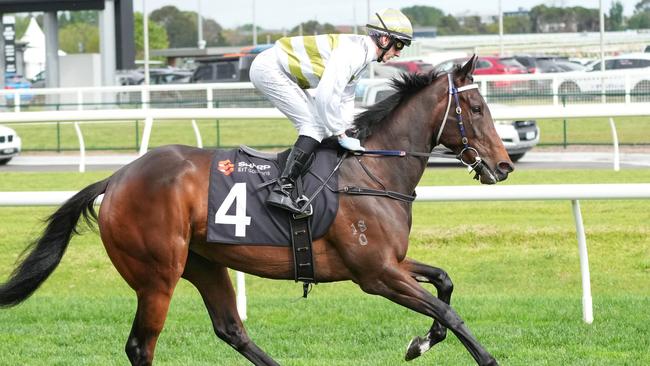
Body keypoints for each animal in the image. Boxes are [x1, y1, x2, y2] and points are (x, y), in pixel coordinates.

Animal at [2, 55, 512, 364]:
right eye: (476, 108)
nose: (504, 165)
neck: (372, 171)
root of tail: (117, 178)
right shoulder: (375, 274)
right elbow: (449, 312)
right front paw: (483, 356)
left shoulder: (390, 263)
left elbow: (445, 283)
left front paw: (420, 343)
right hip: (157, 275)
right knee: (141, 346)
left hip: (204, 263)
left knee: (232, 329)